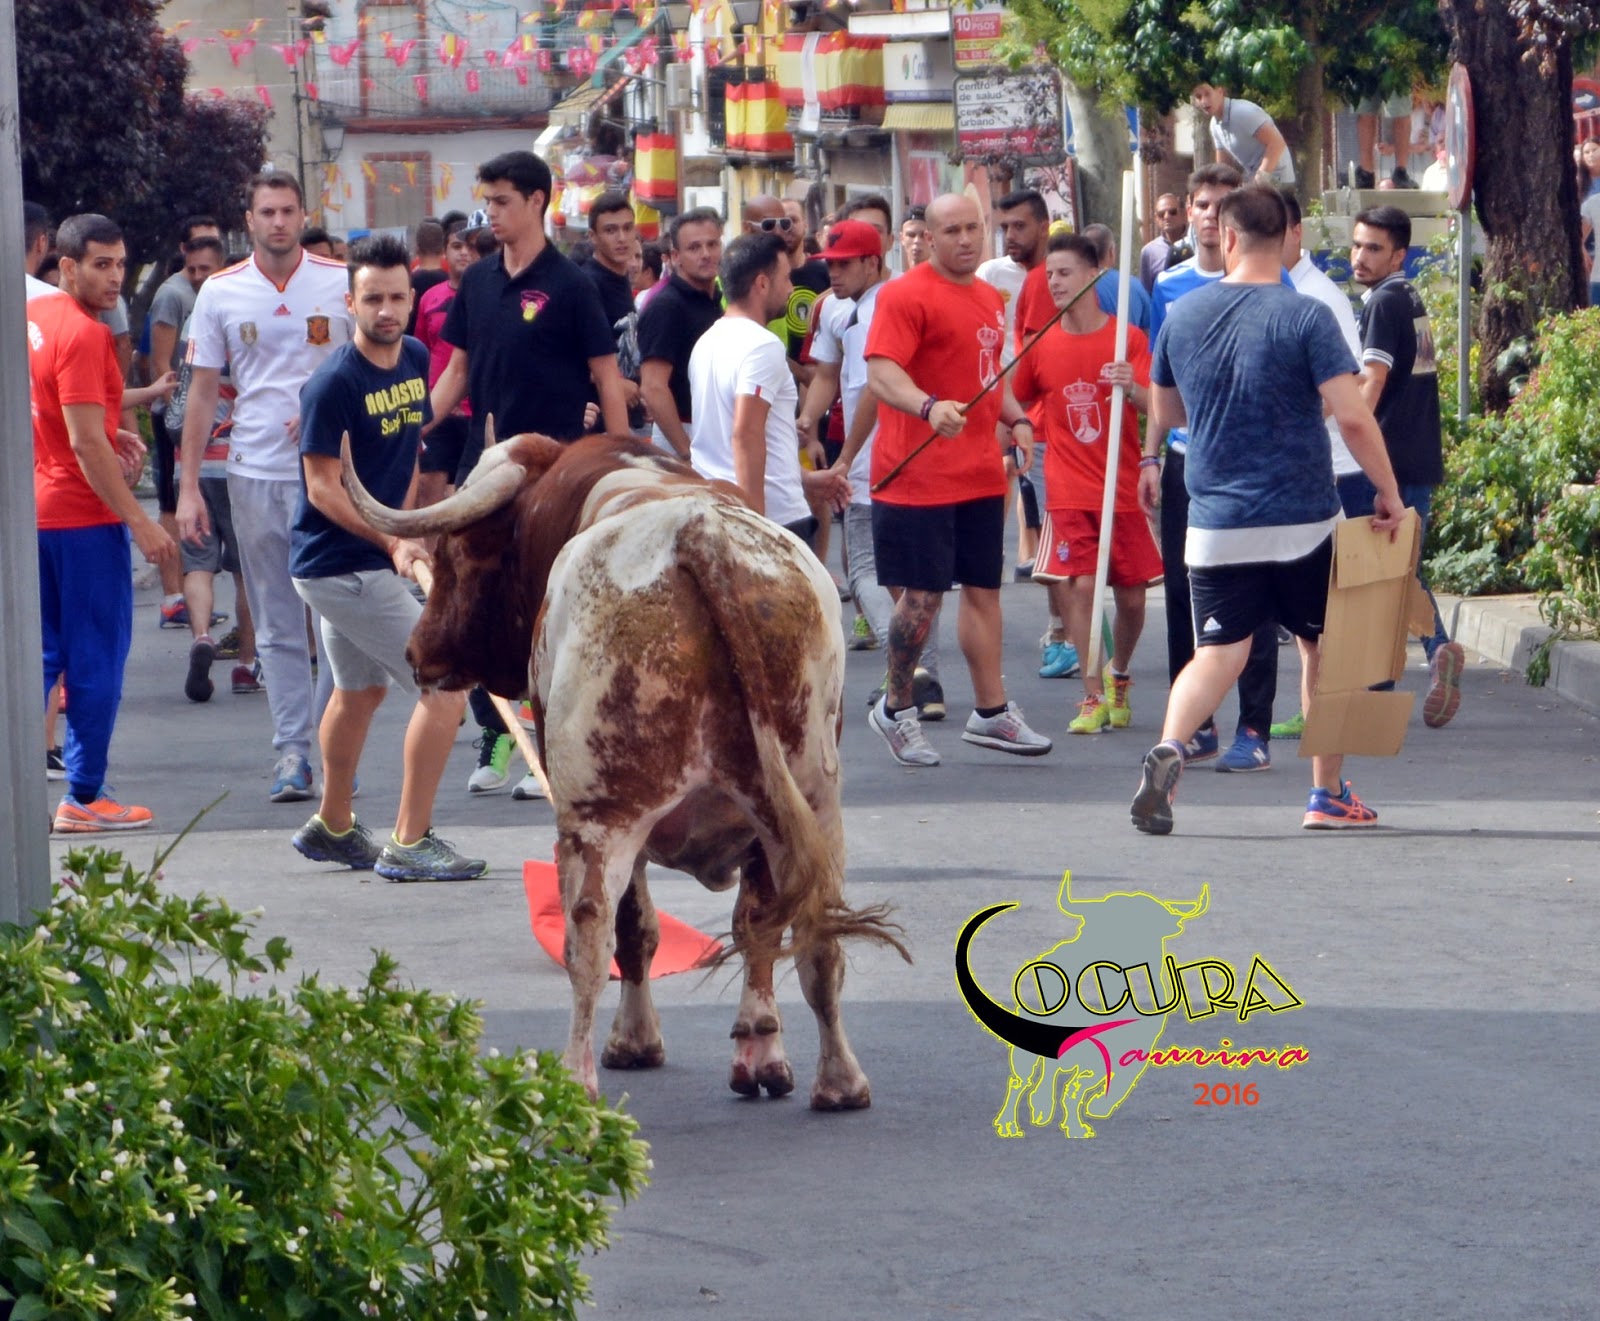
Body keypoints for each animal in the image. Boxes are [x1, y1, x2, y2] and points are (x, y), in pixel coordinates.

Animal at [341, 426, 909, 1110]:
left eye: (457, 554)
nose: (417, 651)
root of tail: (698, 536)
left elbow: (637, 929)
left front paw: (634, 1041)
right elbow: (757, 926)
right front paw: (760, 1050)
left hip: (602, 818)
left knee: (591, 939)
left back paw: (574, 1084)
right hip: (811, 804)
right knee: (812, 936)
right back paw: (838, 1080)